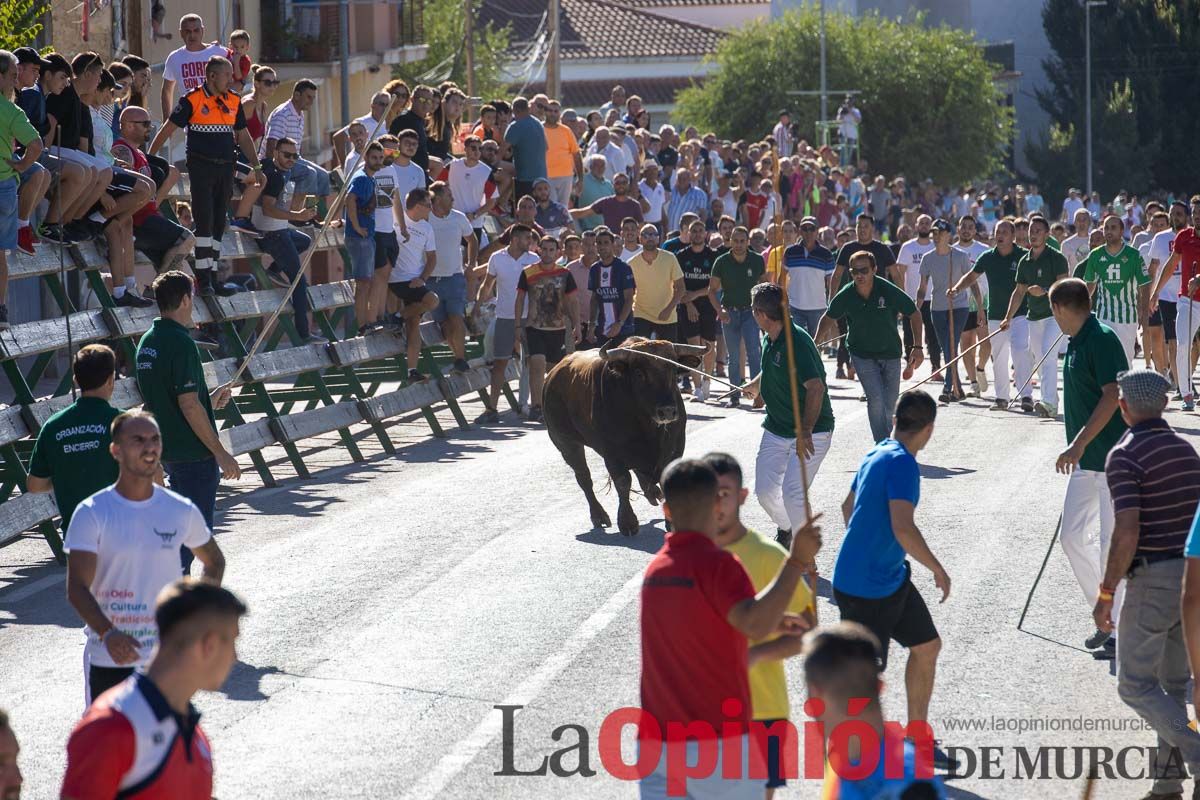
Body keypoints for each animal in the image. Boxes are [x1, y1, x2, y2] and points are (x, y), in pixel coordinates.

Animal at [542, 335, 705, 534]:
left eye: (674, 372)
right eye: (639, 374)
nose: (667, 411)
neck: (647, 426)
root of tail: (552, 375)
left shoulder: (674, 447)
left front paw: (671, 520)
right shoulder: (612, 453)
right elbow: (622, 482)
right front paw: (627, 521)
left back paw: (651, 492)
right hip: (566, 444)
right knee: (584, 478)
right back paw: (599, 515)